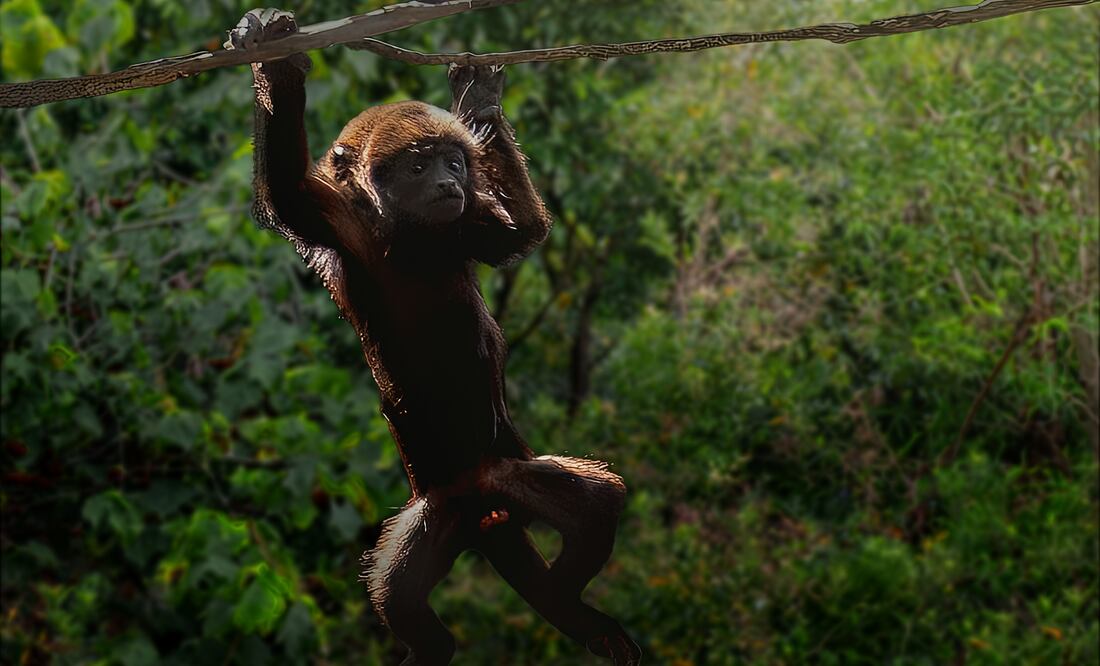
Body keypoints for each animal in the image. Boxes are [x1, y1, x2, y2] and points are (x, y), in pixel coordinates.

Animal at [226, 9, 641, 665]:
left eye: (454, 162)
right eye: (419, 166)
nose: (450, 181)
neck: (415, 238)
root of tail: (484, 513)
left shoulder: (466, 222)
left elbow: (520, 234)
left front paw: (480, 101)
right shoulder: (342, 225)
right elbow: (289, 190)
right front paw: (274, 57)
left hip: (504, 469)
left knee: (596, 503)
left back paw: (566, 603)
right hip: (436, 511)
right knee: (398, 596)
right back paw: (437, 644)